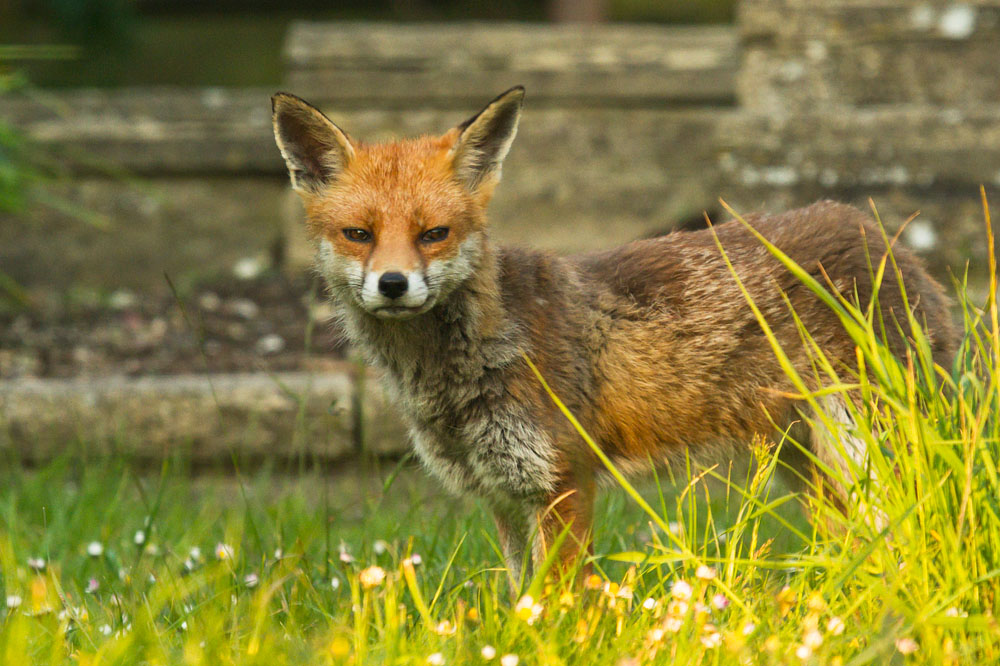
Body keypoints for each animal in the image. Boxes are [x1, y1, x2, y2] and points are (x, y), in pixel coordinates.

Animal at [271, 86, 957, 585]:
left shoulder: (563, 482)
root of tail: (885, 236)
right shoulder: (502, 495)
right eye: (359, 234)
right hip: (811, 465)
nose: (393, 284)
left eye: (433, 234)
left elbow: (556, 603)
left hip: (869, 448)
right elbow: (520, 598)